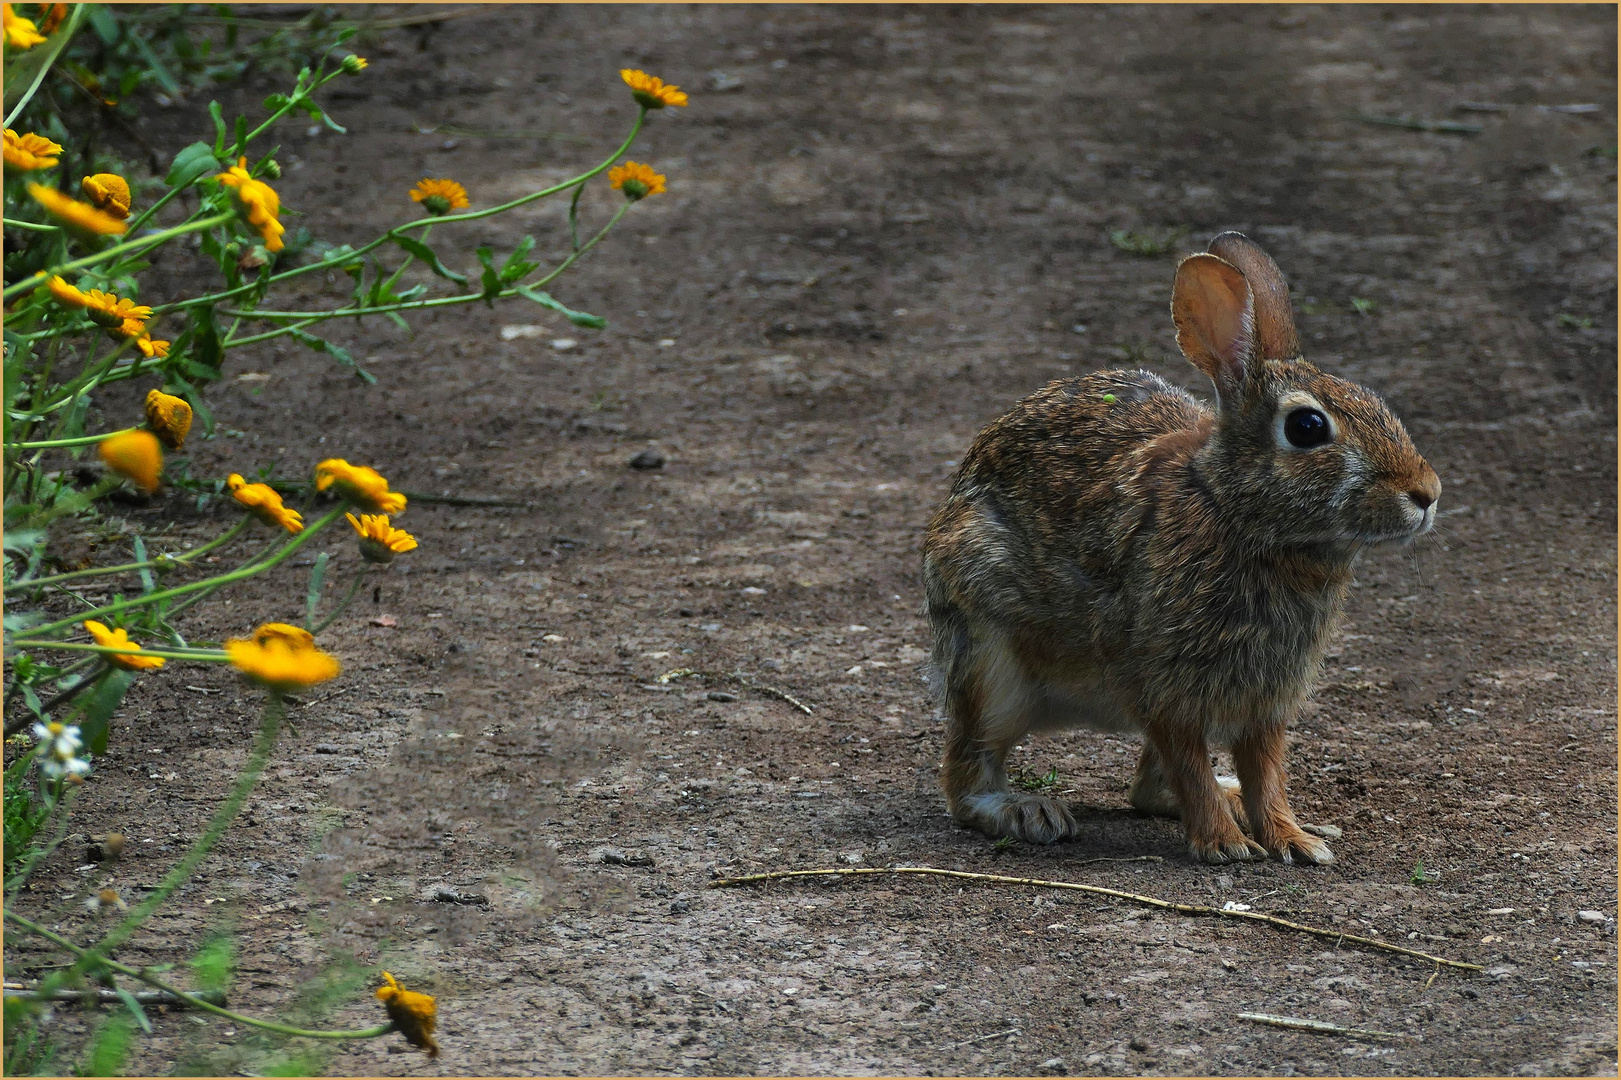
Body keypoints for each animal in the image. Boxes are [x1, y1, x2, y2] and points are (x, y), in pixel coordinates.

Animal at [920, 231, 1439, 862]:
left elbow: (1266, 773)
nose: (1427, 493)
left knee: (1149, 788)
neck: (1237, 513)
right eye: (1308, 428)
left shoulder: (1267, 699)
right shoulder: (1165, 680)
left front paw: (1294, 841)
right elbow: (1189, 759)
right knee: (969, 770)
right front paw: (1224, 846)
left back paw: (1228, 799)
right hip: (990, 662)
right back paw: (1027, 812)